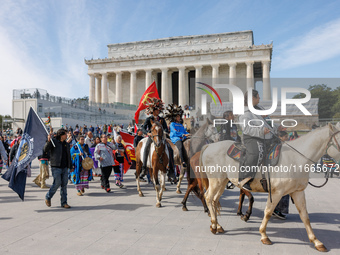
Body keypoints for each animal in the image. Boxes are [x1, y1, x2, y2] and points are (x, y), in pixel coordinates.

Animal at [198, 123, 340, 251]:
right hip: (215, 180)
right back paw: (214, 226)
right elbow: (268, 213)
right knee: (208, 197)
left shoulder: (298, 192)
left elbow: (305, 216)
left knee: (214, 200)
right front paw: (264, 236)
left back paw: (217, 225)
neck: (295, 159)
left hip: (222, 181)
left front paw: (316, 242)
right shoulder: (277, 193)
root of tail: (209, 145)